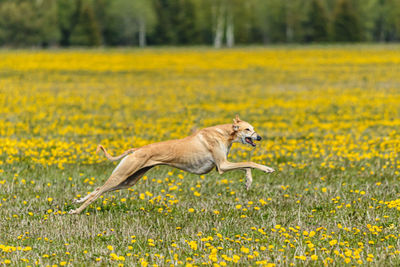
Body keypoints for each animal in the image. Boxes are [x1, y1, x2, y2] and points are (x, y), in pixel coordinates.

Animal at [69, 116, 276, 215]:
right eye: (248, 129)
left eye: (253, 128)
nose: (259, 137)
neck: (224, 133)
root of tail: (136, 149)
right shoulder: (222, 166)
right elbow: (249, 162)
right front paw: (267, 169)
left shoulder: (222, 165)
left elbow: (246, 166)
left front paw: (248, 182)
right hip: (123, 174)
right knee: (99, 192)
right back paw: (77, 210)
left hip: (129, 180)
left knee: (99, 188)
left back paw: (78, 201)